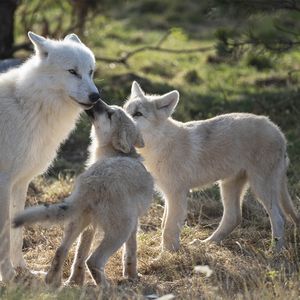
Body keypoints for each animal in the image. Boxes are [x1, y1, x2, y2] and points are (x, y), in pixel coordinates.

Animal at [0, 31, 101, 280]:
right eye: (72, 71)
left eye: (90, 72)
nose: (95, 96)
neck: (28, 106)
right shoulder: (4, 182)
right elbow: (5, 234)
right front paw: (8, 277)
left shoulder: (20, 183)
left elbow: (16, 233)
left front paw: (23, 270)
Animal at [123, 81, 298, 252]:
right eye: (125, 110)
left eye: (137, 114)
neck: (160, 144)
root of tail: (279, 132)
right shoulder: (168, 195)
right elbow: (164, 224)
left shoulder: (176, 194)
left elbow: (168, 229)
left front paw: (165, 256)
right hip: (229, 186)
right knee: (234, 218)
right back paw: (206, 243)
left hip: (260, 188)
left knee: (279, 218)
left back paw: (274, 252)